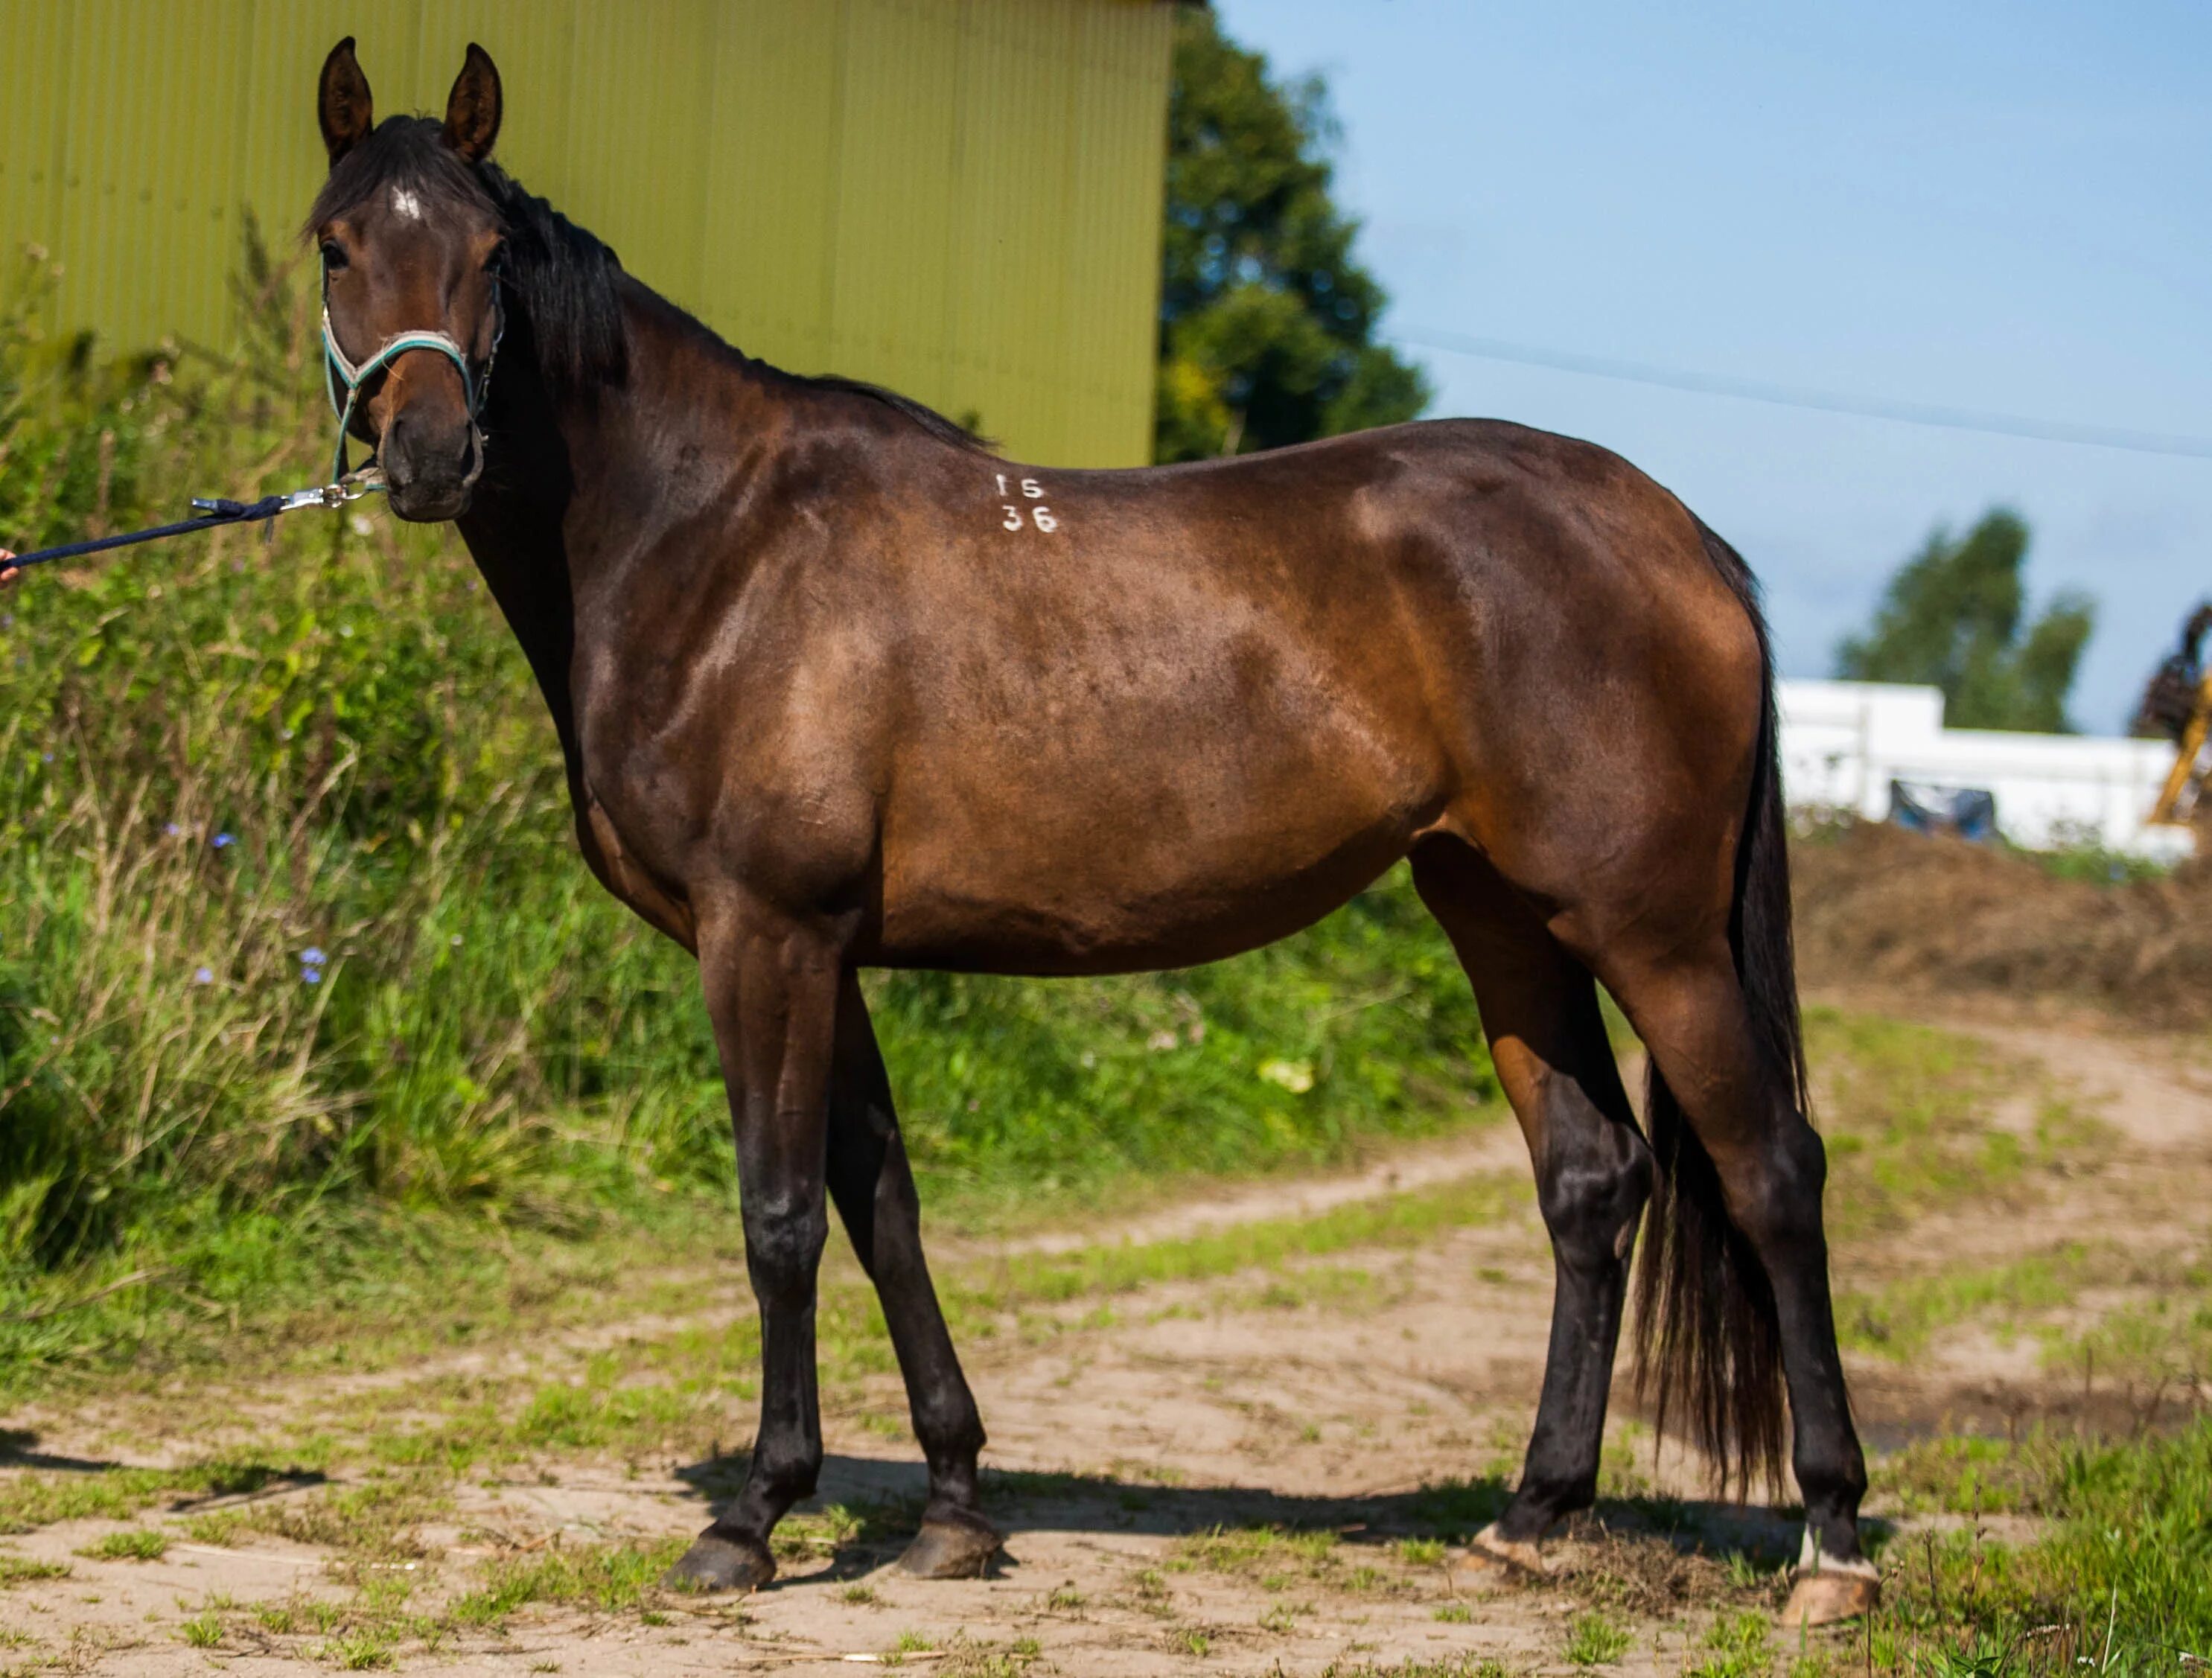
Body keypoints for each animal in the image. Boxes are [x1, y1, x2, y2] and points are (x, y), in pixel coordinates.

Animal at [303, 42, 1875, 1627]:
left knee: (1770, 1170)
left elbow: (781, 1213)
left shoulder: (764, 935)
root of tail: (1679, 536)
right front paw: (953, 1504)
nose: (429, 455)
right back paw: (1533, 1511)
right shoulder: (831, 952)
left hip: (1654, 934)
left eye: (491, 254)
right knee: (1590, 1178)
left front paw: (753, 1513)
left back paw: (1832, 1541)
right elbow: (883, 1203)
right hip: (1499, 913)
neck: (715, 540)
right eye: (338, 244)